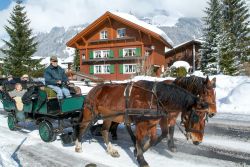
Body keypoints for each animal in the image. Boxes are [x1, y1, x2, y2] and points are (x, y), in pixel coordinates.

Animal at [75, 80, 208, 166]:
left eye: (204, 118)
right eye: (195, 117)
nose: (198, 140)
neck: (154, 98)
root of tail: (92, 90)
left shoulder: (153, 123)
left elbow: (153, 139)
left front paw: (138, 151)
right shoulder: (141, 125)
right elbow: (139, 139)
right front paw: (141, 159)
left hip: (109, 117)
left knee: (104, 130)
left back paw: (111, 150)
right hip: (89, 114)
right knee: (81, 127)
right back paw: (78, 146)